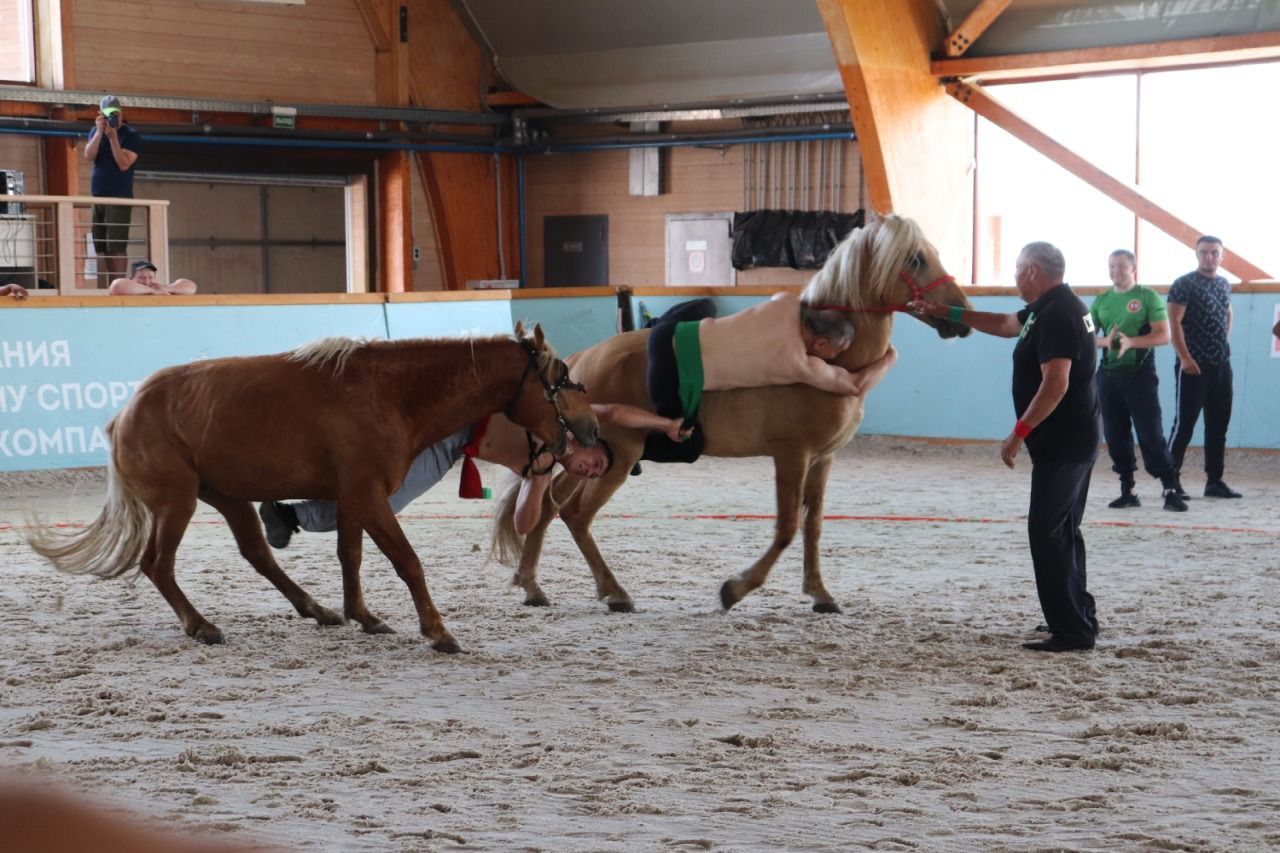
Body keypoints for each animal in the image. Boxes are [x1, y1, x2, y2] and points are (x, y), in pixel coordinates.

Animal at [28, 320, 599, 650]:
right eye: (562, 377)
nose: (591, 429)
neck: (390, 393)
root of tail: (125, 414)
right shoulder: (369, 495)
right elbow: (407, 561)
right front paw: (438, 632)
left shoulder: (351, 497)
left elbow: (352, 556)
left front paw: (361, 615)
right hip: (177, 503)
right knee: (157, 564)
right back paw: (201, 625)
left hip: (227, 496)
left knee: (259, 555)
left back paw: (316, 610)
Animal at [494, 212, 972, 612]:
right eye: (916, 258)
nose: (961, 316)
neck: (827, 360)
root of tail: (580, 364)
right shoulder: (792, 455)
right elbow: (786, 528)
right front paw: (735, 589)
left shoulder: (822, 459)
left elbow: (813, 527)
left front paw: (820, 593)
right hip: (619, 458)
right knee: (576, 515)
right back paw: (614, 592)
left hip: (589, 458)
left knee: (550, 504)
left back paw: (532, 584)